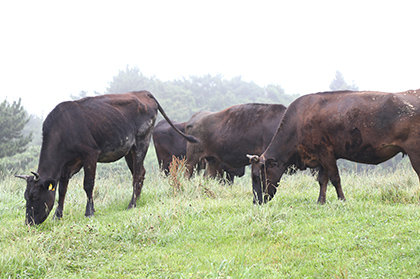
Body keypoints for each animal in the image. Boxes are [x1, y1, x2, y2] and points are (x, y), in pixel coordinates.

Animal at [16, 91, 197, 226]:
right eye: (25, 196)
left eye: (35, 196)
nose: (29, 222)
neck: (63, 130)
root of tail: (143, 92)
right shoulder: (67, 165)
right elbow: (62, 189)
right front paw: (57, 215)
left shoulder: (90, 154)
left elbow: (88, 184)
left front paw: (89, 212)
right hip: (129, 149)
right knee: (140, 172)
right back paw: (137, 199)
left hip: (142, 140)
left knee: (138, 173)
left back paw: (132, 204)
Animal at [248, 89, 420, 206]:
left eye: (258, 177)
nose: (256, 202)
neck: (298, 122)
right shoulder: (320, 158)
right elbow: (322, 180)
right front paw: (320, 201)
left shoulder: (326, 153)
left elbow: (335, 178)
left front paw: (342, 199)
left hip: (414, 151)